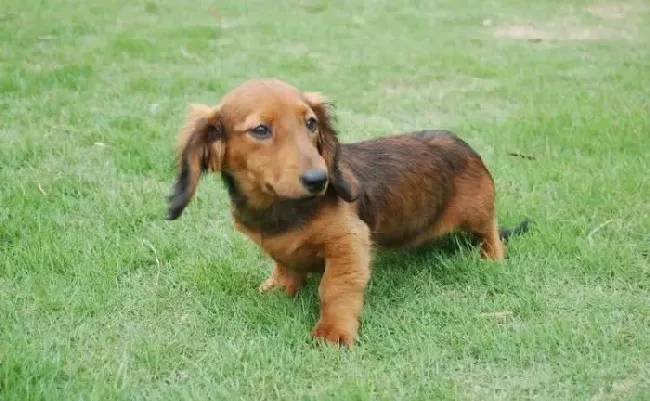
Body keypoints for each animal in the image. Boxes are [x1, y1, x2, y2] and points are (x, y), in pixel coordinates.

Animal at [166, 79, 528, 346]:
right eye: (260, 130)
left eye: (311, 123)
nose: (319, 180)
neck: (281, 209)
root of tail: (462, 143)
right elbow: (283, 264)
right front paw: (278, 287)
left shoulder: (349, 241)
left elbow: (335, 288)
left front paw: (334, 332)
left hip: (478, 211)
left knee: (490, 231)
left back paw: (491, 256)